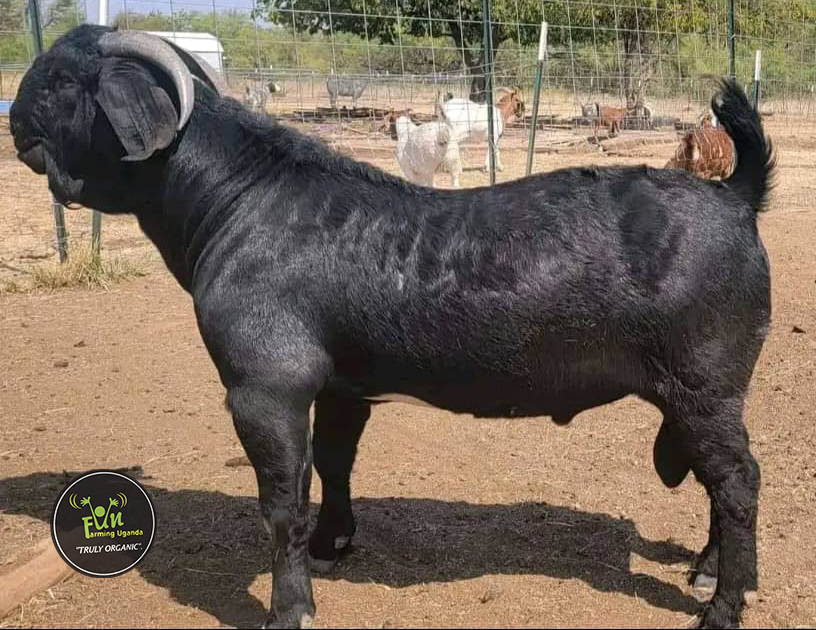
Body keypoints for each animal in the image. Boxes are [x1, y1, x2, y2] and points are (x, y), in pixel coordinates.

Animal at [11, 25, 774, 629]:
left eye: (60, 81)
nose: (14, 121)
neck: (241, 198)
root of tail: (733, 196)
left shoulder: (265, 386)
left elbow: (282, 498)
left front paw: (291, 607)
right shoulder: (342, 384)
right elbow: (333, 461)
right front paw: (333, 545)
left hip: (702, 378)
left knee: (738, 480)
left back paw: (722, 606)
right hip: (710, 391)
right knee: (721, 477)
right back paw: (708, 570)